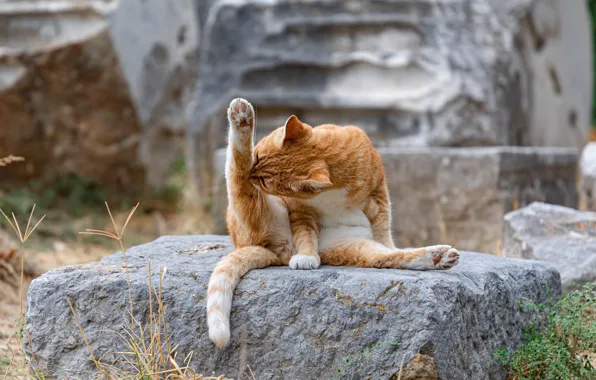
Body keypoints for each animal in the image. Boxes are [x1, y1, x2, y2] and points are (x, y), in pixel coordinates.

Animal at [207, 97, 458, 348]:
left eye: (264, 181)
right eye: (257, 156)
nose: (253, 173)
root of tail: (277, 254)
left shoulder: (378, 193)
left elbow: (383, 226)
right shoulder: (300, 210)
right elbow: (305, 234)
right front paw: (306, 257)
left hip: (355, 247)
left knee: (390, 256)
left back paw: (438, 257)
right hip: (258, 211)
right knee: (237, 173)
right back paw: (242, 119)